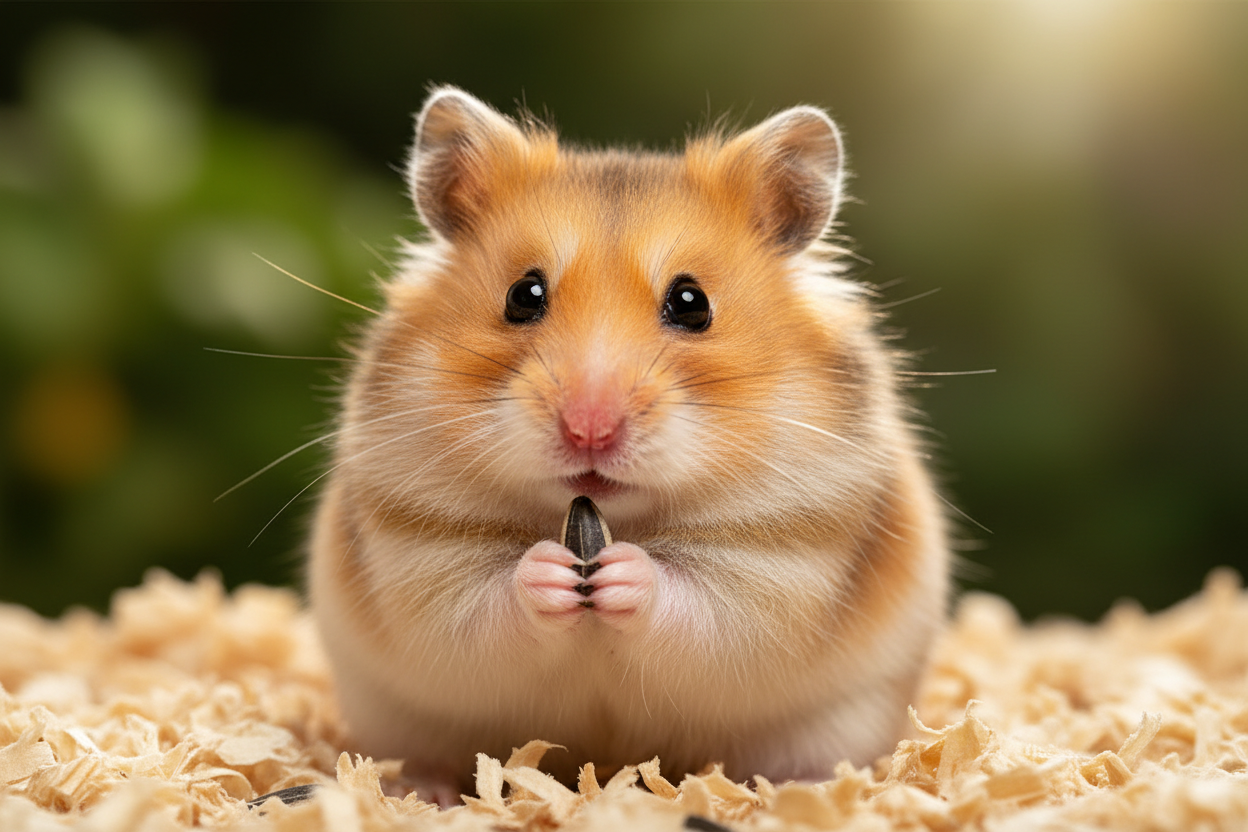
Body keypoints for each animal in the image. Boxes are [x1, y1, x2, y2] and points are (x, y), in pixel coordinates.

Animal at [308, 87, 949, 802]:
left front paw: (621, 572)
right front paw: (552, 572)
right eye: (523, 294)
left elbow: (698, 607)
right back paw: (422, 791)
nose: (589, 428)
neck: (613, 514)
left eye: (692, 302)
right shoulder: (419, 556)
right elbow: (483, 605)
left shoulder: (782, 566)